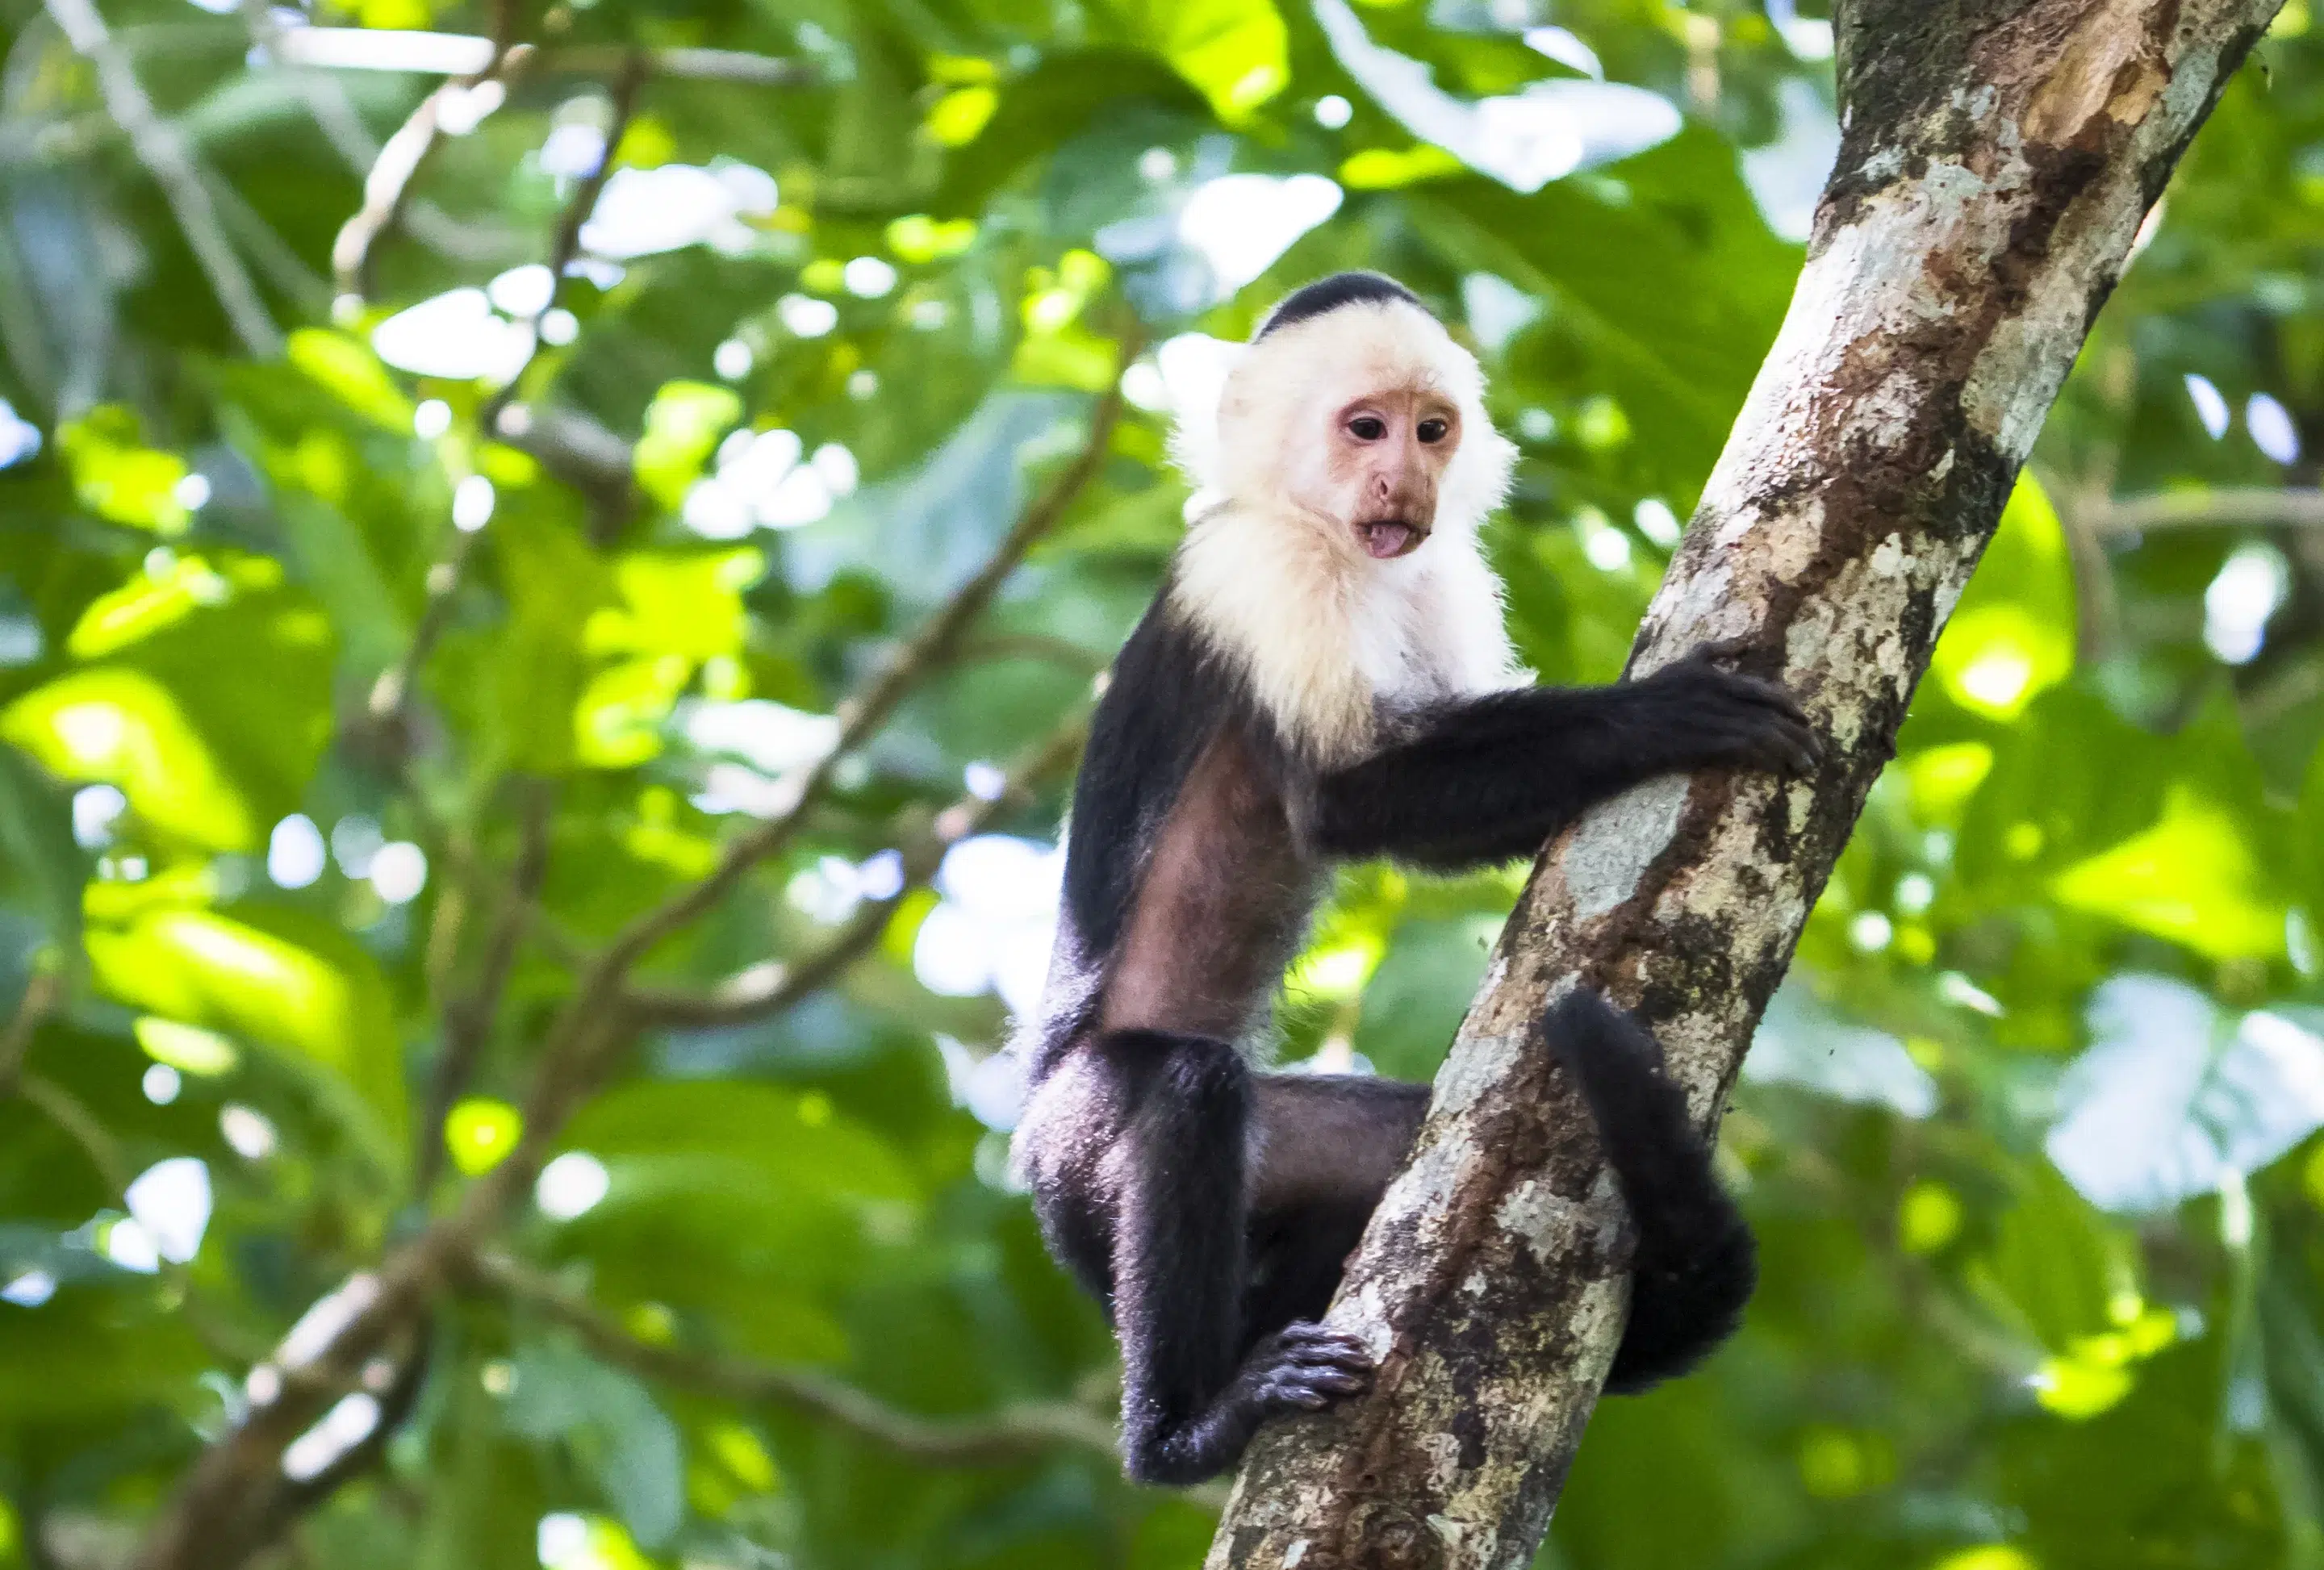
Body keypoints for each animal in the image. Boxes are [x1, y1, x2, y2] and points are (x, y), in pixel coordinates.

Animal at [1008, 273, 1821, 1486]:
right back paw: (1184, 1431)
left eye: (1431, 431)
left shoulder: (1442, 574)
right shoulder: (1263, 572)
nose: (1405, 479)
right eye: (1364, 428)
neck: (1332, 541)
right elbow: (1352, 797)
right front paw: (1663, 714)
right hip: (1072, 1140)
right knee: (1188, 1090)